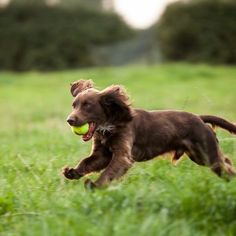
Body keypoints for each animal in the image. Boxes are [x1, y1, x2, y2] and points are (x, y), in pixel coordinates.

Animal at [62, 79, 236, 188]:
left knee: (224, 166)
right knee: (226, 161)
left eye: (87, 105)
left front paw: (95, 186)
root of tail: (199, 118)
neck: (110, 124)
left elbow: (108, 172)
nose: (69, 120)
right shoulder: (102, 154)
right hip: (199, 156)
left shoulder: (123, 156)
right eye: (74, 105)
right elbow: (86, 162)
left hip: (206, 154)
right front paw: (73, 172)